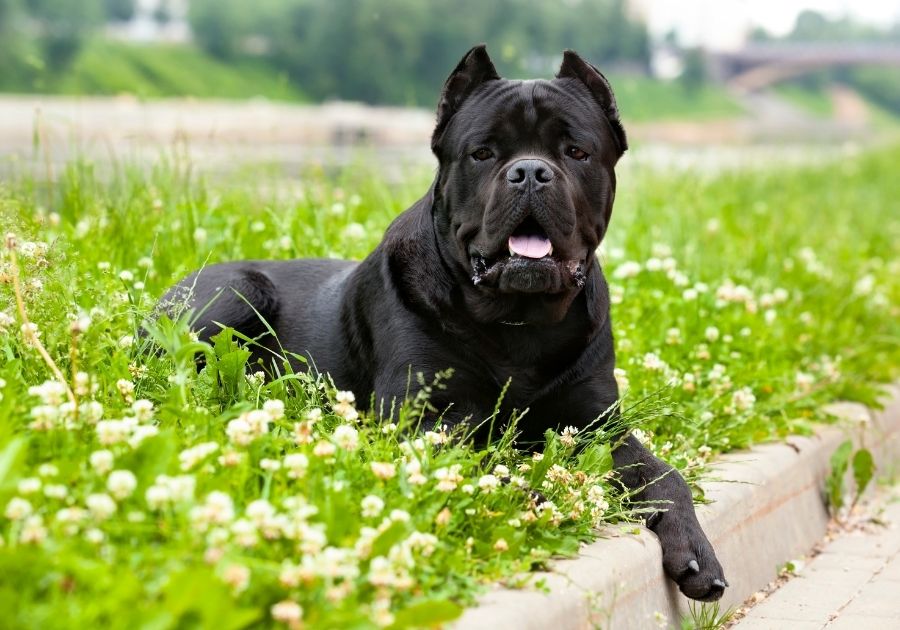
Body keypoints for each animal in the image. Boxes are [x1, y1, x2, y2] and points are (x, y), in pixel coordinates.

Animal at [160, 45, 724, 604]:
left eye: (576, 152)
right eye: (483, 153)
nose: (530, 172)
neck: (518, 320)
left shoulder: (597, 423)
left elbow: (663, 473)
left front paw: (697, 550)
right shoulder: (426, 419)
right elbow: (486, 467)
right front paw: (539, 497)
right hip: (236, 293)